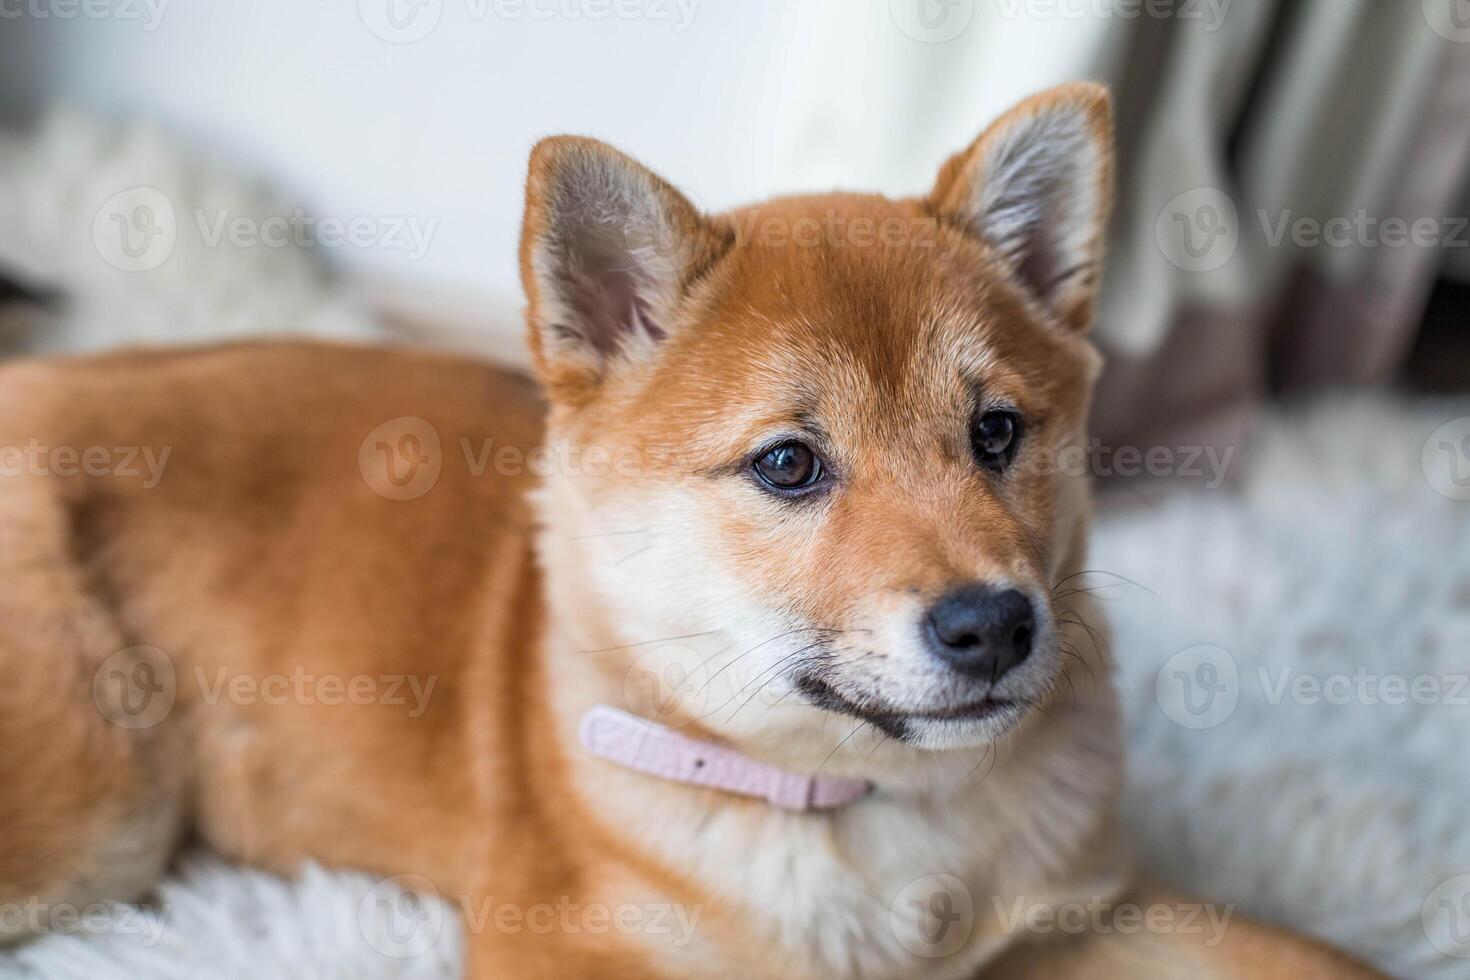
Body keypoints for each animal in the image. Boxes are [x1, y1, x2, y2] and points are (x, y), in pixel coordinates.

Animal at [0, 86, 1375, 980]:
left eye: (996, 431)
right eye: (788, 463)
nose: (993, 625)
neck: (866, 813)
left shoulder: (1086, 913)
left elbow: (1304, 954)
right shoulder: (563, 941)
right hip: (97, 813)